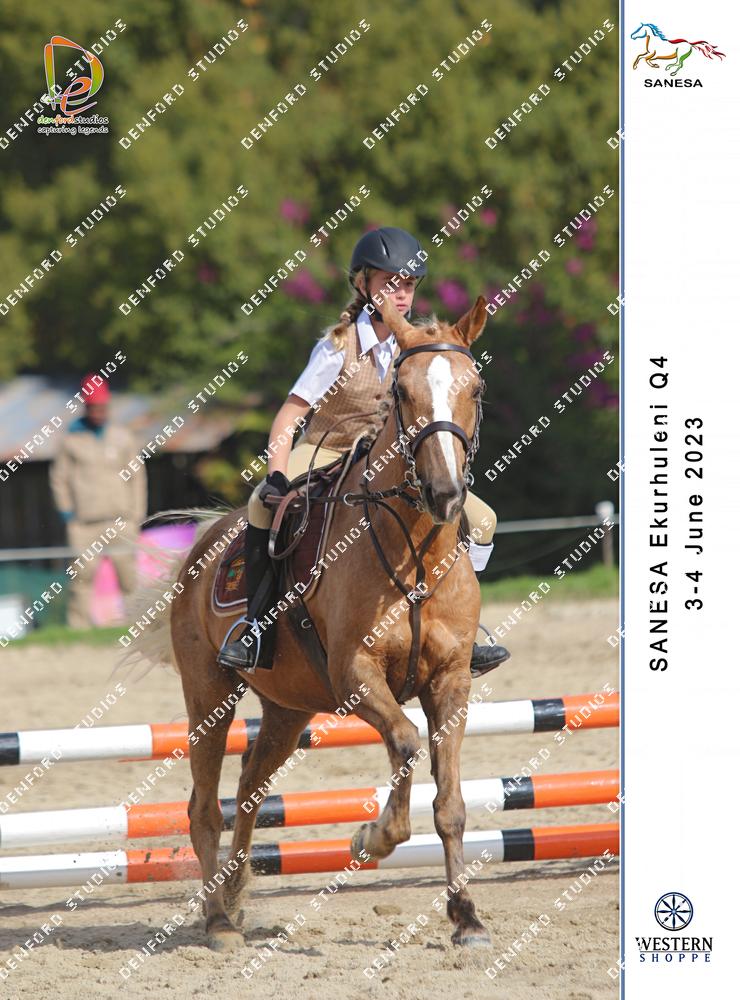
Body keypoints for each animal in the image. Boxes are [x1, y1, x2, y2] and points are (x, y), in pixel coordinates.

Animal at [149, 295, 492, 952]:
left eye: (476, 388)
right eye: (402, 391)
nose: (444, 493)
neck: (414, 550)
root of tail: (205, 540)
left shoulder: (451, 682)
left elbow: (452, 804)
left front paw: (468, 919)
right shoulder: (356, 676)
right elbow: (405, 743)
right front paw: (372, 837)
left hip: (288, 708)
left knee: (250, 790)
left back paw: (236, 894)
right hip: (208, 693)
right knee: (204, 804)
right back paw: (218, 921)